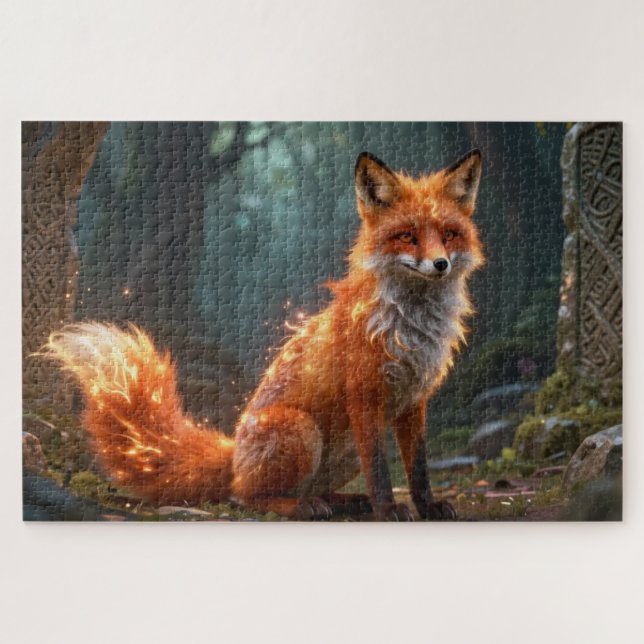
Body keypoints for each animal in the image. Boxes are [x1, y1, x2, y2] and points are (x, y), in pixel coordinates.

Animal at [43, 149, 484, 521]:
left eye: (449, 234)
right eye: (408, 235)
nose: (440, 264)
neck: (411, 327)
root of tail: (234, 455)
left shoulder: (415, 400)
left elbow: (419, 467)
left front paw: (427, 506)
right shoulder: (365, 396)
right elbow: (379, 470)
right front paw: (388, 509)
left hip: (338, 454)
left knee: (302, 488)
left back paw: (339, 500)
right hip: (299, 430)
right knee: (245, 496)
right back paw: (303, 506)